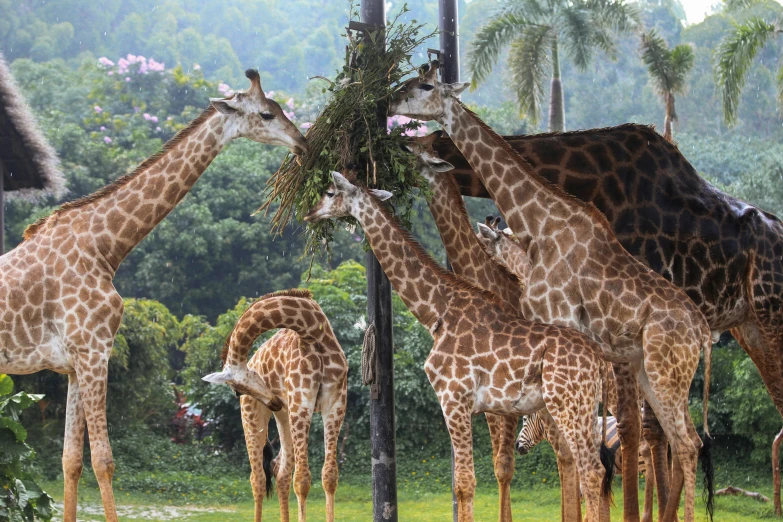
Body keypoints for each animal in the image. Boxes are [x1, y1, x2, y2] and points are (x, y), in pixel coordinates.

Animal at [0, 69, 310, 520]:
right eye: (267, 113)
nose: (303, 142)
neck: (106, 247)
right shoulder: (95, 352)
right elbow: (104, 460)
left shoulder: (73, 363)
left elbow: (71, 460)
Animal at [204, 288, 348, 520]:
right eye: (236, 392)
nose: (274, 401)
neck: (312, 331)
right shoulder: (302, 402)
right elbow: (302, 480)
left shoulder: (335, 402)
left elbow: (329, 476)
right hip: (253, 415)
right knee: (258, 478)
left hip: (285, 417)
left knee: (281, 472)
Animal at [306, 172, 620, 520]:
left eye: (330, 192)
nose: (309, 213)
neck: (436, 312)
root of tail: (598, 360)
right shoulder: (472, 406)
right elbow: (468, 481)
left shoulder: (453, 398)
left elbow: (465, 484)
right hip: (582, 408)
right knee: (593, 469)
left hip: (569, 405)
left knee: (590, 470)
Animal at [388, 62, 712, 520]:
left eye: (425, 85)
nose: (390, 102)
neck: (540, 222)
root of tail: (703, 331)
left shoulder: (556, 329)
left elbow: (562, 451)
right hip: (652, 373)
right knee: (680, 440)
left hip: (663, 373)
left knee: (676, 441)